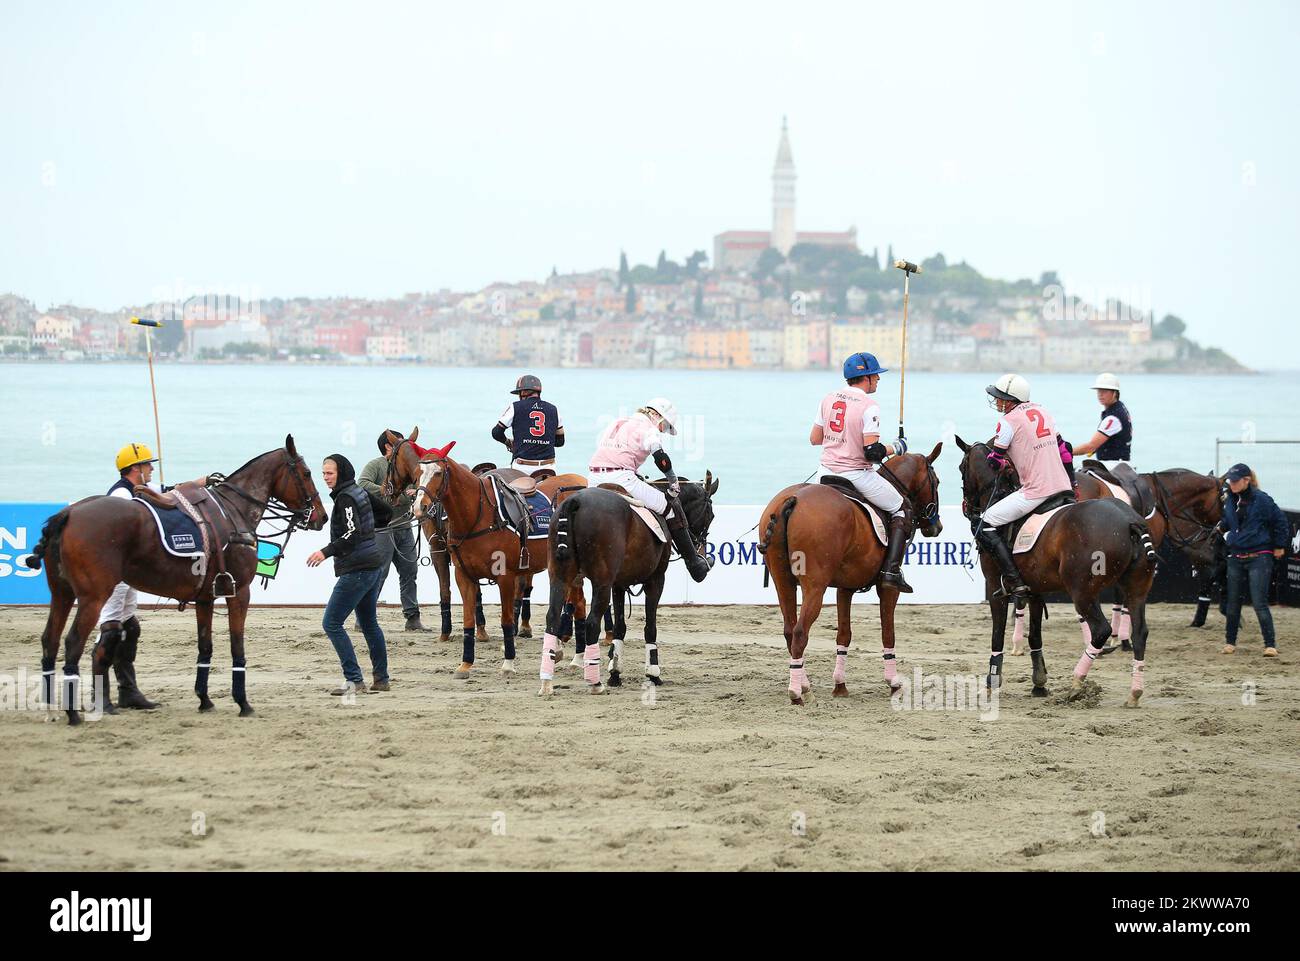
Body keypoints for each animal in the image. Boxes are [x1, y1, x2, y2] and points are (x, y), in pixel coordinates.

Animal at [26, 436, 325, 723]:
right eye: (307, 473)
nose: (321, 517)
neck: (233, 512)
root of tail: (68, 513)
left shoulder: (205, 598)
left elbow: (205, 647)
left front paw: (204, 700)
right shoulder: (239, 592)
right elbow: (236, 647)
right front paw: (243, 703)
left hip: (62, 593)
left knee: (52, 640)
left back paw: (54, 707)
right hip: (94, 597)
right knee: (76, 643)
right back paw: (77, 713)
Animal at [384, 431, 590, 681]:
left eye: (439, 472)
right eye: (417, 474)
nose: (419, 507)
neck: (477, 515)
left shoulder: (502, 576)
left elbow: (506, 619)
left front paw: (508, 662)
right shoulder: (464, 575)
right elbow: (468, 617)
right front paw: (465, 664)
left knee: (578, 603)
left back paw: (575, 656)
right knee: (576, 602)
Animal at [538, 475, 722, 697]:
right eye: (710, 515)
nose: (702, 552)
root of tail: (574, 501)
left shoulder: (619, 584)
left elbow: (620, 628)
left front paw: (615, 672)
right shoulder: (656, 580)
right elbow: (650, 627)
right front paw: (653, 674)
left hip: (561, 577)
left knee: (552, 618)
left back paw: (547, 682)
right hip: (601, 582)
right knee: (592, 623)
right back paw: (594, 682)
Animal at [754, 444, 946, 707]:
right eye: (936, 481)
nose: (936, 527)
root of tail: (792, 499)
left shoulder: (845, 588)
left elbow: (844, 634)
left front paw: (840, 685)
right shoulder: (888, 589)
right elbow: (888, 632)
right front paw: (894, 683)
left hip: (782, 581)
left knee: (789, 631)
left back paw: (805, 685)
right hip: (815, 585)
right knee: (800, 631)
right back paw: (796, 693)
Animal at [956, 436, 1159, 707]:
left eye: (961, 468)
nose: (967, 508)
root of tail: (1130, 521)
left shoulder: (994, 586)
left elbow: (997, 635)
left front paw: (992, 682)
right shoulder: (1034, 590)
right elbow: (1035, 636)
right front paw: (1039, 682)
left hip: (1082, 591)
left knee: (1101, 630)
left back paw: (1076, 682)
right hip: (1136, 588)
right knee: (1139, 633)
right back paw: (1134, 692)